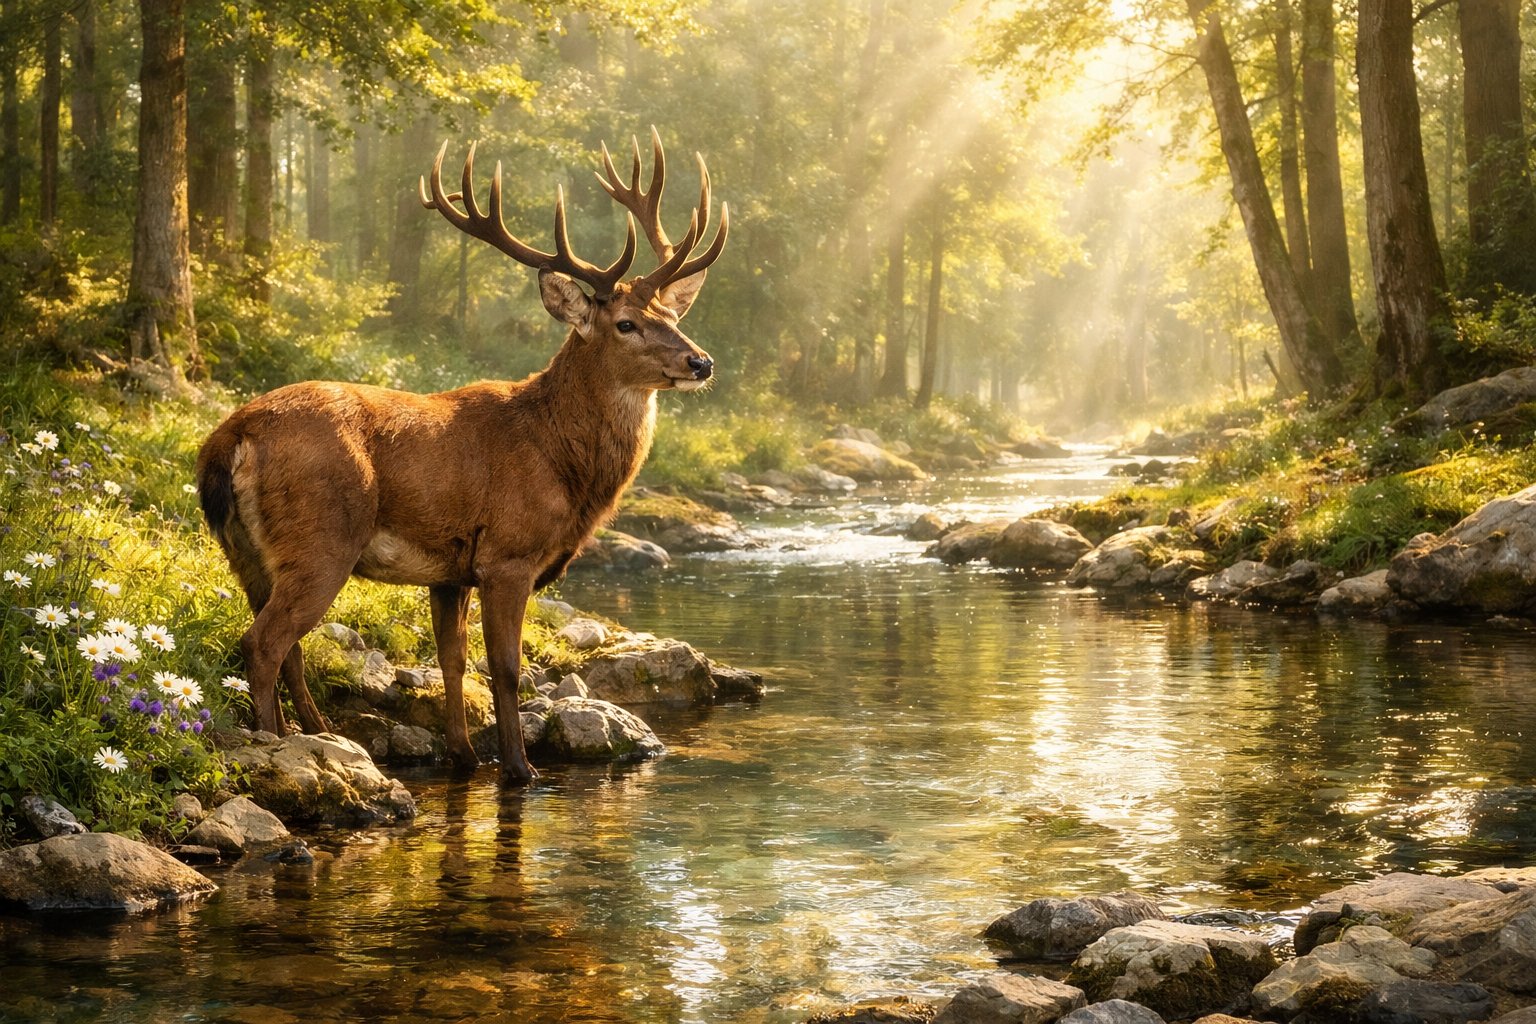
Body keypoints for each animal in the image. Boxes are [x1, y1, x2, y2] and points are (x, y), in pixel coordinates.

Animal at [195, 130, 728, 784]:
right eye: (626, 323)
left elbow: (452, 661)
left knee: (282, 642)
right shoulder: (508, 555)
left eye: (673, 315)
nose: (700, 361)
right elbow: (504, 669)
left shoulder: (450, 571)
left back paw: (314, 732)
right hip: (321, 536)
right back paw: (278, 746)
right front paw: (521, 772)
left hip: (245, 551)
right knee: (263, 642)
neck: (563, 463)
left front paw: (464, 757)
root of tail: (230, 437)